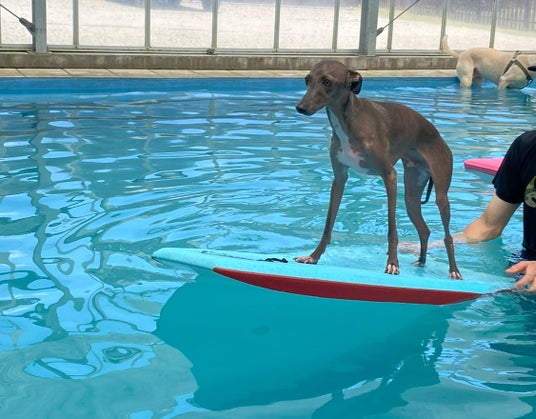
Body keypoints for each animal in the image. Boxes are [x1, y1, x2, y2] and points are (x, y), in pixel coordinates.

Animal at [294, 60, 461, 279]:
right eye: (307, 80)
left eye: (327, 82)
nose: (300, 107)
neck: (349, 120)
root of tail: (438, 135)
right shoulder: (339, 179)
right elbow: (328, 224)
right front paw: (313, 256)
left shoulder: (389, 176)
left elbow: (392, 230)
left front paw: (392, 264)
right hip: (411, 197)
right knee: (424, 230)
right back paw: (422, 262)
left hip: (441, 194)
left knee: (447, 236)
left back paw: (454, 270)